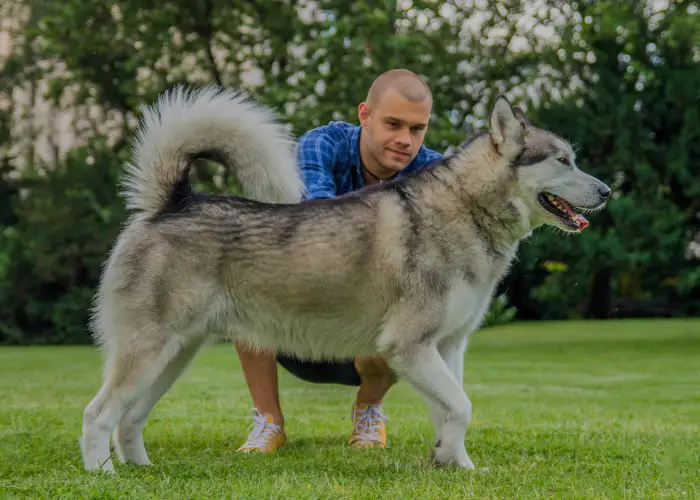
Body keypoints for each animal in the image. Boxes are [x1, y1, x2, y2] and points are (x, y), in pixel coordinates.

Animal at [79, 85, 608, 472]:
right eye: (563, 161)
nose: (606, 190)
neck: (467, 206)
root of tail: (175, 202)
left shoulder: (448, 346)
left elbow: (450, 411)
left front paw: (455, 465)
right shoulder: (409, 346)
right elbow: (462, 407)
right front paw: (454, 461)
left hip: (173, 357)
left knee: (129, 419)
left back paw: (142, 470)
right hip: (150, 351)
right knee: (97, 414)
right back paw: (103, 474)